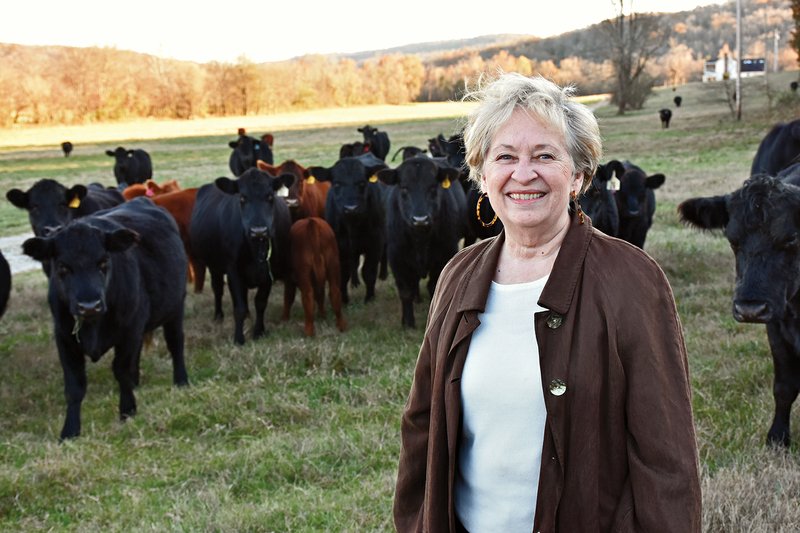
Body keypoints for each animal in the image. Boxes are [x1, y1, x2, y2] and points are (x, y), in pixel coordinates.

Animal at [21, 197, 189, 438]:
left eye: (103, 262)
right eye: (62, 267)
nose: (89, 306)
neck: (93, 327)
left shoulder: (129, 329)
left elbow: (121, 370)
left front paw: (127, 411)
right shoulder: (64, 337)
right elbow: (74, 386)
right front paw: (70, 430)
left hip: (175, 307)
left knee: (175, 343)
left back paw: (181, 381)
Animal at [189, 167, 292, 344]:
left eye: (270, 196)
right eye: (242, 198)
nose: (259, 231)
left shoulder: (269, 271)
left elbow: (260, 302)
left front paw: (259, 332)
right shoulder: (233, 270)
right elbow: (239, 307)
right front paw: (239, 338)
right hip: (214, 266)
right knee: (218, 289)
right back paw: (218, 316)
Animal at [308, 152, 390, 306]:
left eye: (362, 183)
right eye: (337, 183)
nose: (351, 208)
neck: (352, 227)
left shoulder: (375, 242)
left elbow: (369, 271)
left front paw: (369, 297)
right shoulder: (339, 246)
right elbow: (343, 273)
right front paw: (344, 299)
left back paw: (383, 275)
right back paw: (354, 282)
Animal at [378, 156, 466, 326]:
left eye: (433, 187)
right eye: (404, 188)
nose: (420, 219)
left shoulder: (445, 254)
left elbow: (435, 286)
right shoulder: (396, 258)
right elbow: (405, 291)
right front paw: (408, 322)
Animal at [680, 170, 800, 444]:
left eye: (792, 238)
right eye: (733, 240)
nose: (750, 309)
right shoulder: (777, 324)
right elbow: (784, 387)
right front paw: (777, 437)